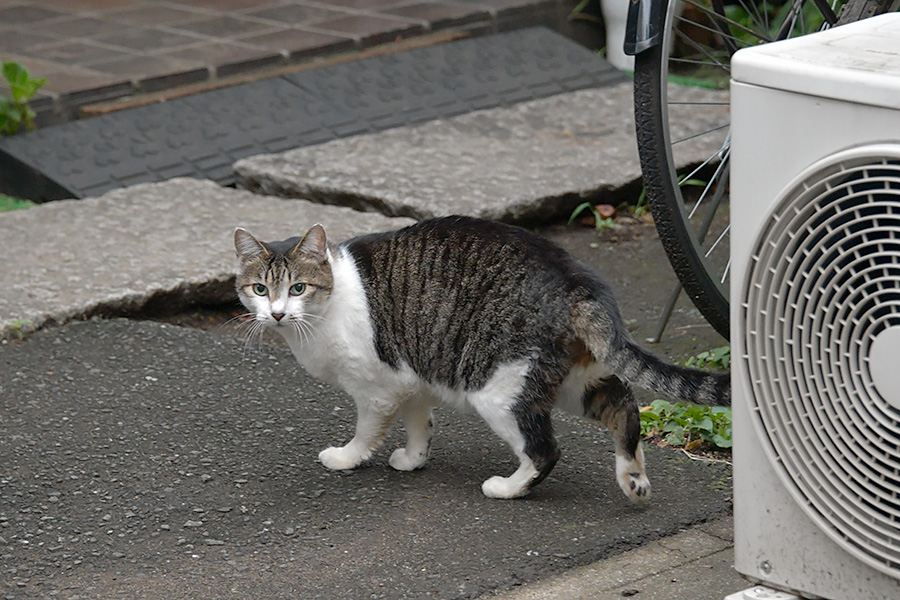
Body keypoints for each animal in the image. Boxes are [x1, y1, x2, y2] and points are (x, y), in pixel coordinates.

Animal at [234, 217, 732, 502]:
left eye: (297, 287)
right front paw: (413, 459)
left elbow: (366, 432)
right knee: (624, 408)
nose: (276, 313)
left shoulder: (376, 389)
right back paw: (633, 478)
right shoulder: (412, 379)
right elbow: (420, 424)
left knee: (545, 449)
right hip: (574, 378)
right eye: (259, 289)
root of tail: (576, 280)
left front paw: (346, 458)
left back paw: (507, 489)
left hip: (500, 387)